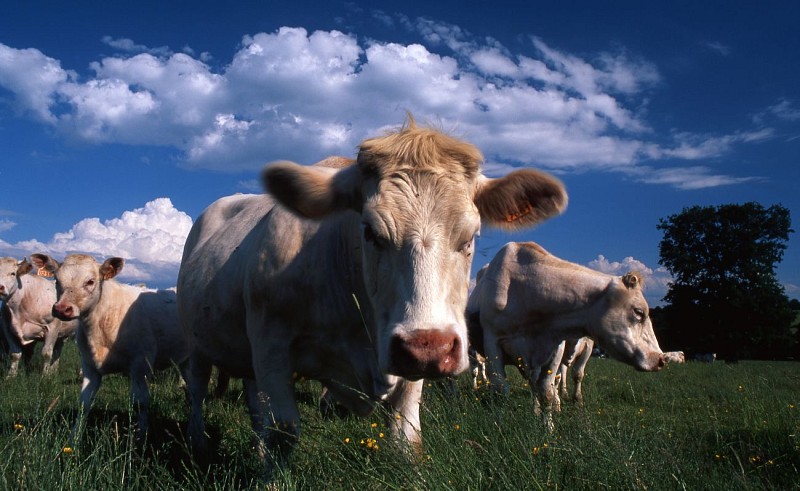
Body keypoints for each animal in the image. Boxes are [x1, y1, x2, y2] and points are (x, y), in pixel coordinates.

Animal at [30, 254, 190, 442]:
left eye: (90, 281)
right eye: (56, 279)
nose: (62, 309)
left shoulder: (141, 363)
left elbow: (140, 403)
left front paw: (140, 439)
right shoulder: (89, 366)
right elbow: (84, 403)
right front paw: (74, 438)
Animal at [180, 117, 568, 478]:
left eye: (470, 236)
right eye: (370, 231)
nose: (431, 348)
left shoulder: (406, 363)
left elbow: (405, 437)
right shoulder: (270, 344)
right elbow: (284, 431)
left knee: (254, 404)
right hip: (196, 344)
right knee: (197, 393)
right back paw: (198, 444)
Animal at [466, 241, 664, 430]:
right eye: (639, 312)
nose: (661, 359)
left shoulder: (557, 347)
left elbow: (548, 390)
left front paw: (549, 427)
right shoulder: (492, 343)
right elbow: (500, 389)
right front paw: (500, 425)